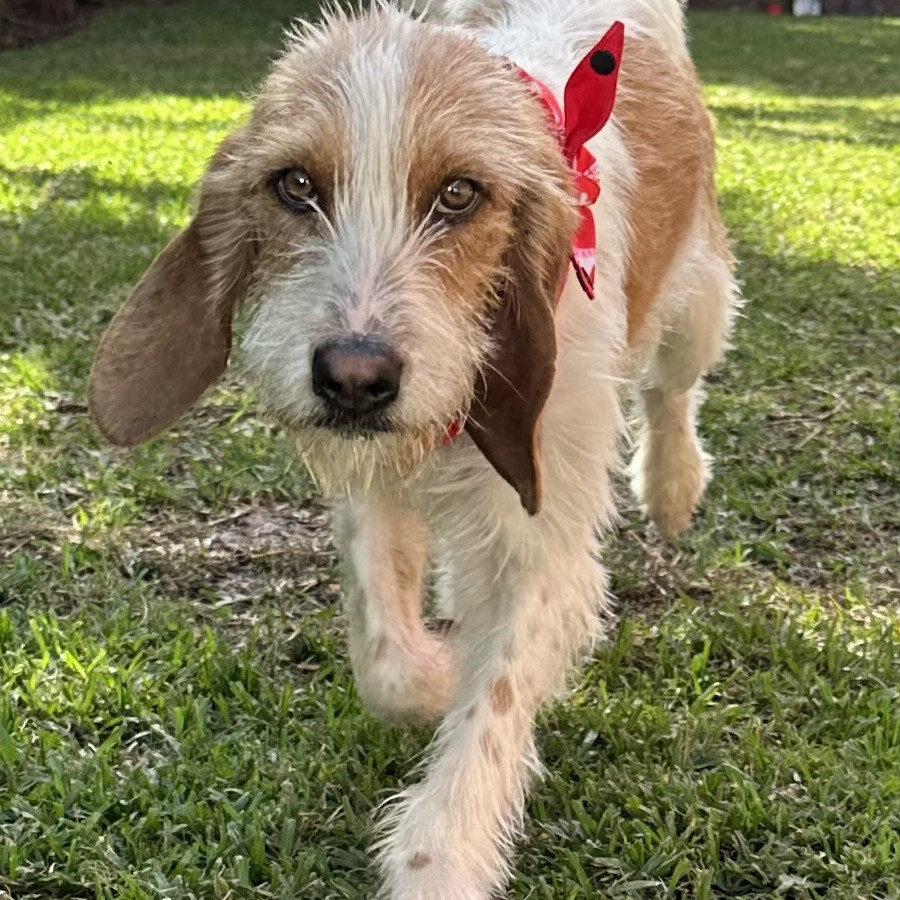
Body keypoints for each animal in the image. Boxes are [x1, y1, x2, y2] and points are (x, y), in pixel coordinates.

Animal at [89, 0, 740, 896]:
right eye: (295, 185)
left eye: (460, 194)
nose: (354, 380)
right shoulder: (374, 481)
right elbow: (388, 660)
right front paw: (437, 676)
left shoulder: (544, 535)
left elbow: (493, 704)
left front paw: (444, 857)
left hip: (697, 303)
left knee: (674, 390)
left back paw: (673, 485)